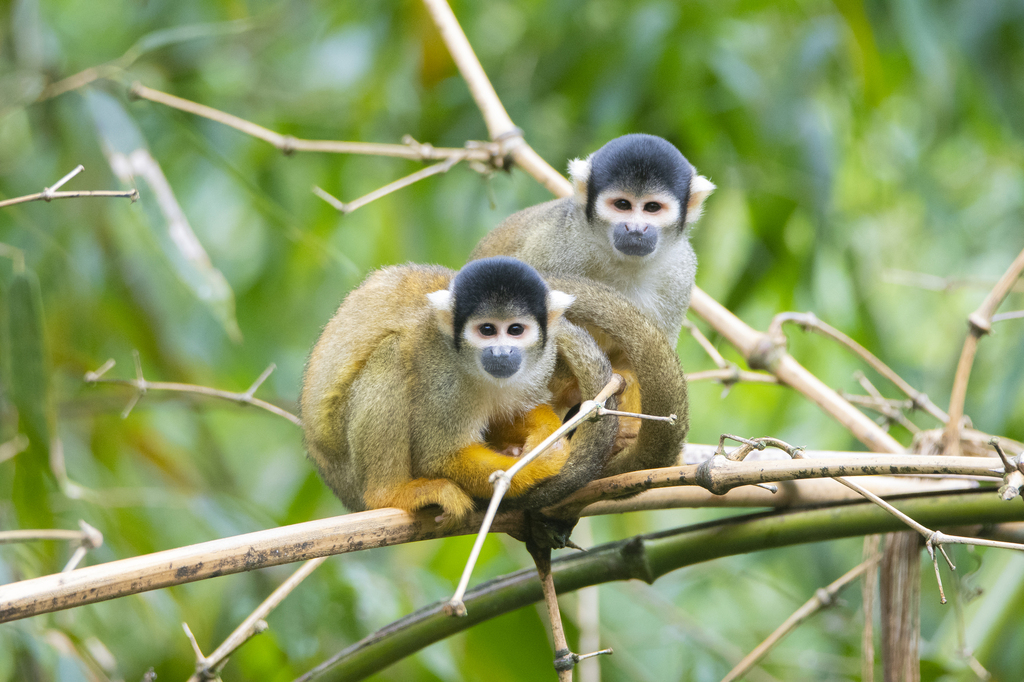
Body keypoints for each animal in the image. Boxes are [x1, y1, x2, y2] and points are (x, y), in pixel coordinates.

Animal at [300, 257, 619, 528]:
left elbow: (513, 412)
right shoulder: (440, 375)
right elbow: (438, 456)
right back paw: (389, 492)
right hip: (347, 467)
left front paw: (542, 431)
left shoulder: (542, 362)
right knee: (391, 353)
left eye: (515, 330)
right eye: (487, 330)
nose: (501, 352)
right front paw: (537, 465)